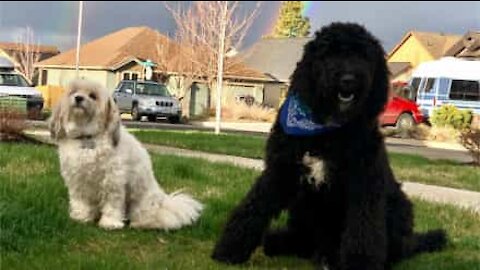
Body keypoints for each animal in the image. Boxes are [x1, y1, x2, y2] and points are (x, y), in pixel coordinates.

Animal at [50, 78, 202, 230]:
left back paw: (141, 223)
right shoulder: (77, 179)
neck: (87, 137)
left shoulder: (113, 180)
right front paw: (81, 217)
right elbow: (80, 201)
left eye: (93, 96)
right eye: (73, 92)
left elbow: (112, 204)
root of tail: (163, 201)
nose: (78, 98)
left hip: (141, 202)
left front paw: (110, 223)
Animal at [210, 22, 446, 270]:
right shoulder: (280, 170)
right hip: (302, 207)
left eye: (363, 55)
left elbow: (364, 228)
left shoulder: (364, 182)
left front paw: (360, 264)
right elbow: (254, 206)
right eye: (329, 53)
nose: (348, 79)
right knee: (302, 241)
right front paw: (229, 249)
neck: (326, 130)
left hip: (397, 207)